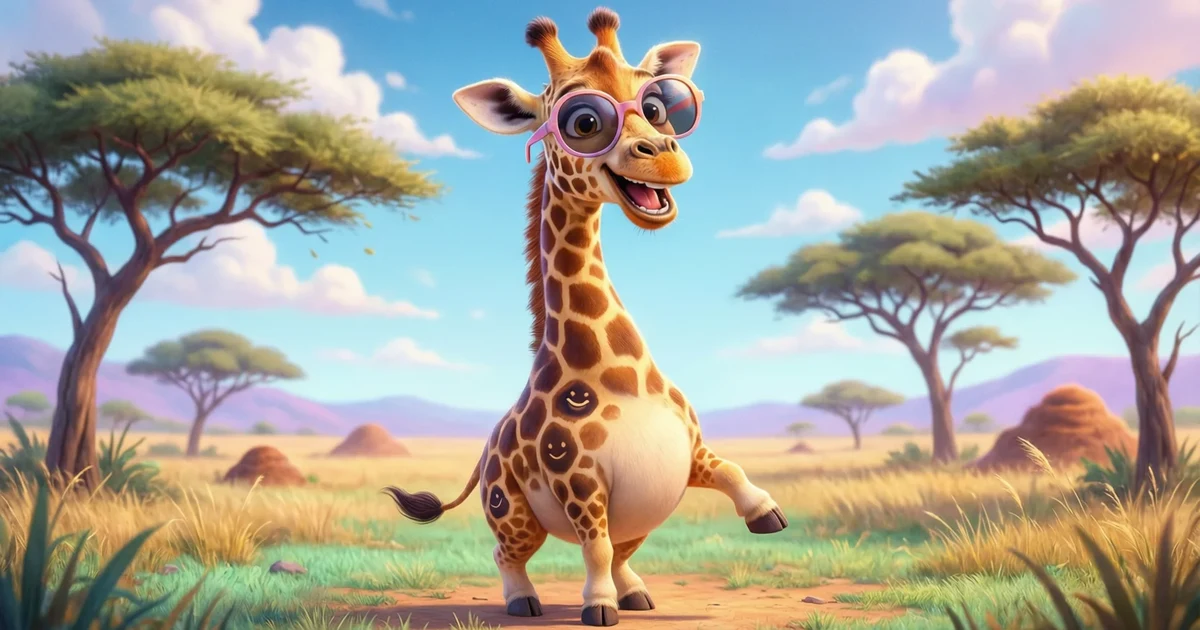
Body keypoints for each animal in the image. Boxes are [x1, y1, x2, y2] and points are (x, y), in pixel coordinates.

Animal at [384, 8, 788, 627]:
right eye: (584, 121)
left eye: (660, 106)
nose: (666, 154)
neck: (619, 376)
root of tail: (484, 451)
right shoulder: (578, 478)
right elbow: (592, 546)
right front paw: (597, 608)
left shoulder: (690, 451)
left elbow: (731, 471)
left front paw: (766, 512)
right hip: (511, 511)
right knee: (511, 552)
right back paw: (524, 601)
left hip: (646, 513)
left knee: (624, 550)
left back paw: (637, 593)